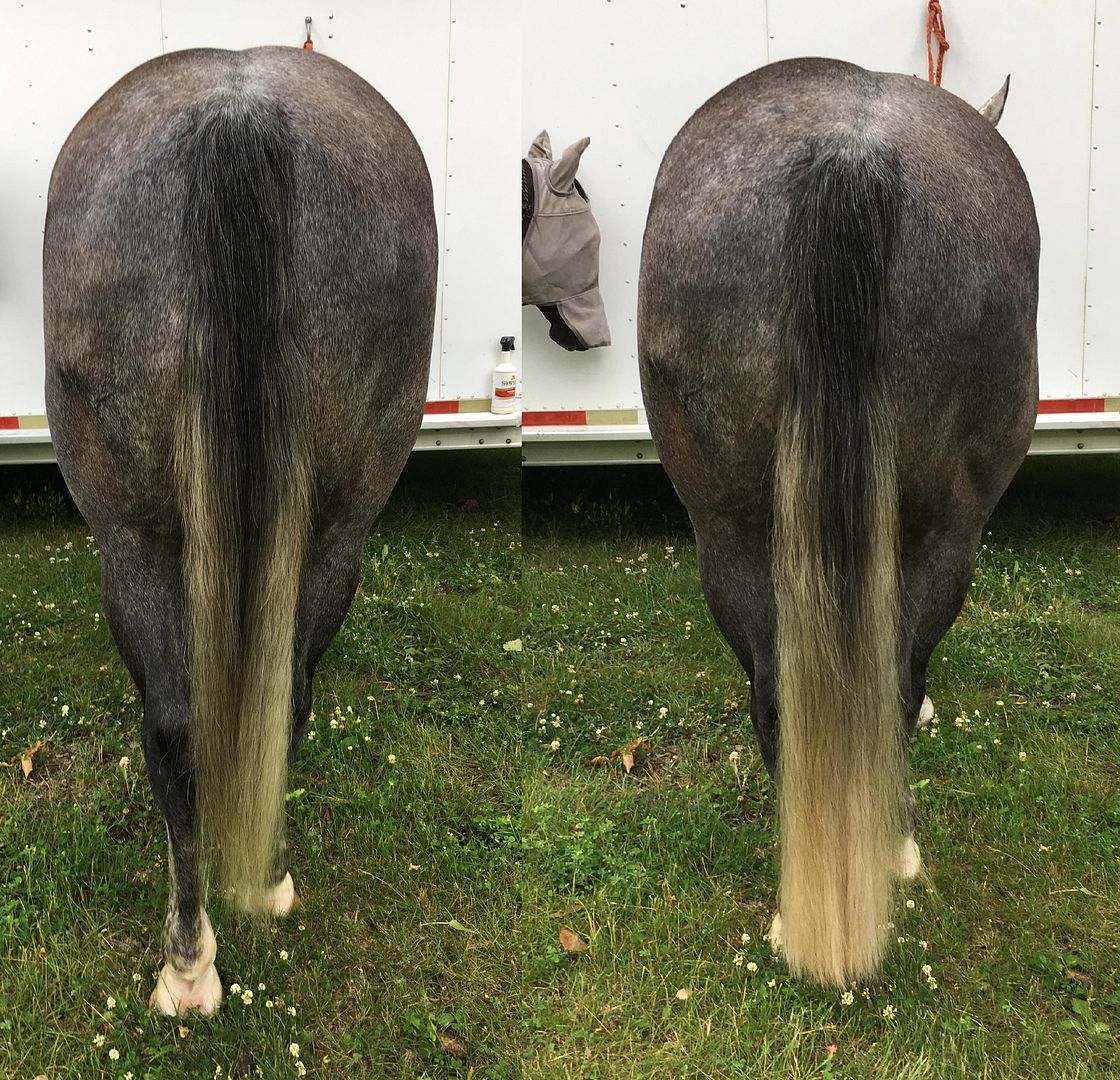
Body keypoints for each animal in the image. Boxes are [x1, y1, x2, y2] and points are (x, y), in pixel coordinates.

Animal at [43, 46, 436, 1014]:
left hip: (141, 540)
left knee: (192, 727)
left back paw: (194, 954)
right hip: (328, 534)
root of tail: (238, 114)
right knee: (269, 703)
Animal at [637, 58, 1037, 987]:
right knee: (890, 682)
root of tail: (851, 157)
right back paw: (888, 857)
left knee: (782, 693)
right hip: (942, 532)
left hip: (731, 529)